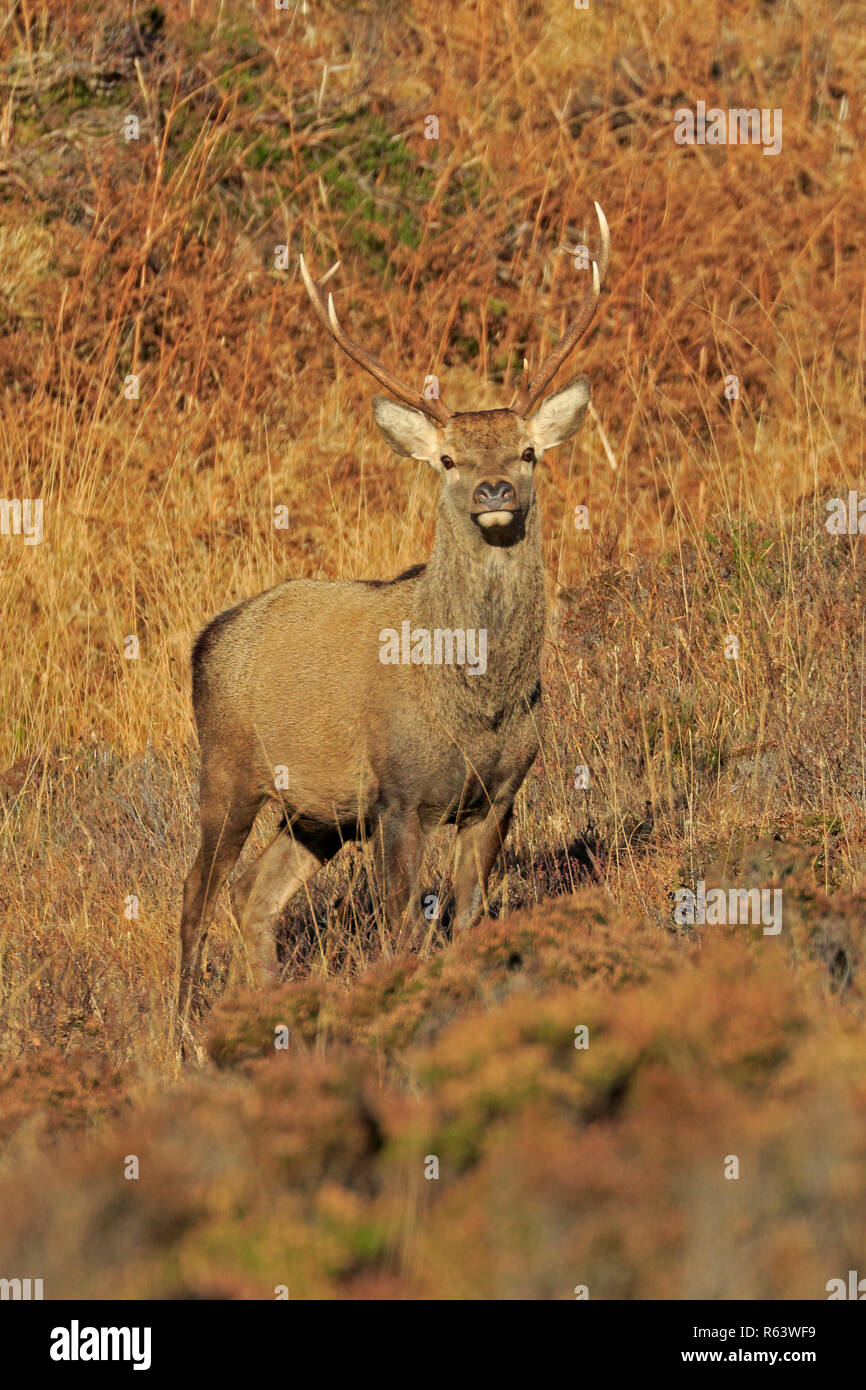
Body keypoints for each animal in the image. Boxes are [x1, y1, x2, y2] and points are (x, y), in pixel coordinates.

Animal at [175, 203, 611, 1044]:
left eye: (529, 450)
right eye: (447, 458)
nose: (494, 489)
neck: (475, 701)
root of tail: (207, 639)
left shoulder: (499, 795)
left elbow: (467, 920)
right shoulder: (399, 796)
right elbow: (400, 929)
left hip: (315, 813)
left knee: (253, 898)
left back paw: (274, 1015)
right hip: (228, 767)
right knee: (195, 895)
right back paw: (181, 1036)